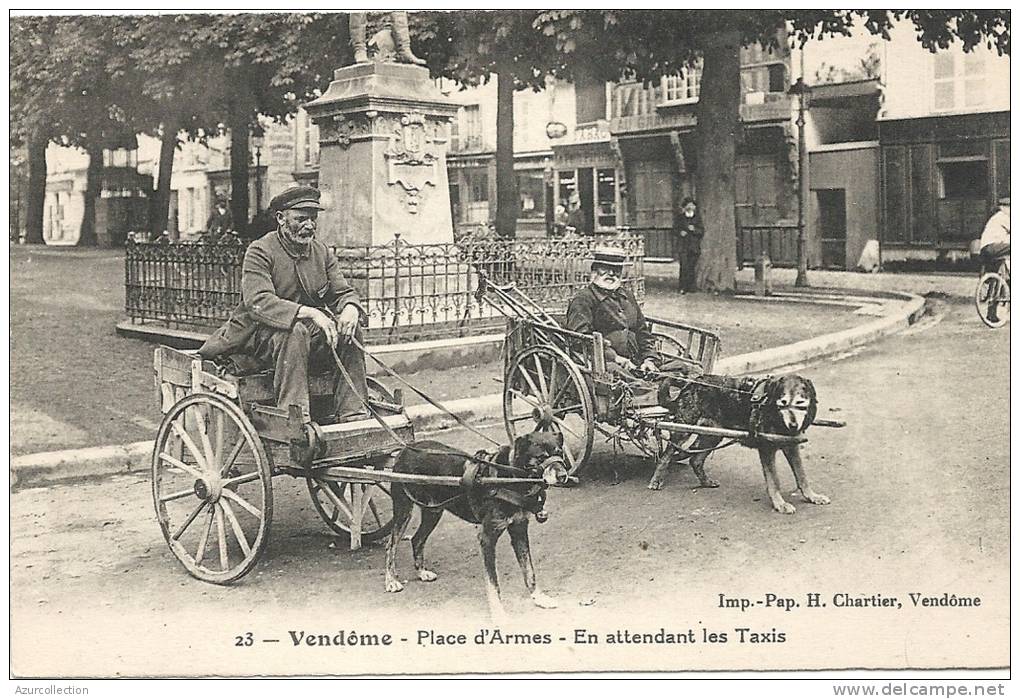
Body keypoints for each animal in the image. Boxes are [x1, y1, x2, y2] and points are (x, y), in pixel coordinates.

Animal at [383, 430, 571, 620]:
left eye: (560, 453)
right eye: (541, 457)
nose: (563, 476)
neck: (509, 477)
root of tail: (405, 449)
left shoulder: (519, 529)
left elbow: (529, 571)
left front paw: (538, 597)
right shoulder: (487, 537)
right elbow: (493, 583)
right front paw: (498, 614)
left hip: (433, 511)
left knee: (417, 539)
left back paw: (421, 572)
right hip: (403, 509)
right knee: (391, 544)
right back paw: (391, 580)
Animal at [648, 373, 832, 514]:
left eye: (800, 403)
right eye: (783, 403)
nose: (793, 426)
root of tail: (690, 383)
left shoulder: (792, 446)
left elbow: (802, 475)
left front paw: (812, 496)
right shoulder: (767, 448)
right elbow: (774, 480)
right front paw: (780, 504)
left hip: (713, 434)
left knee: (695, 459)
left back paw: (706, 481)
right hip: (683, 430)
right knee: (666, 456)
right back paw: (656, 480)